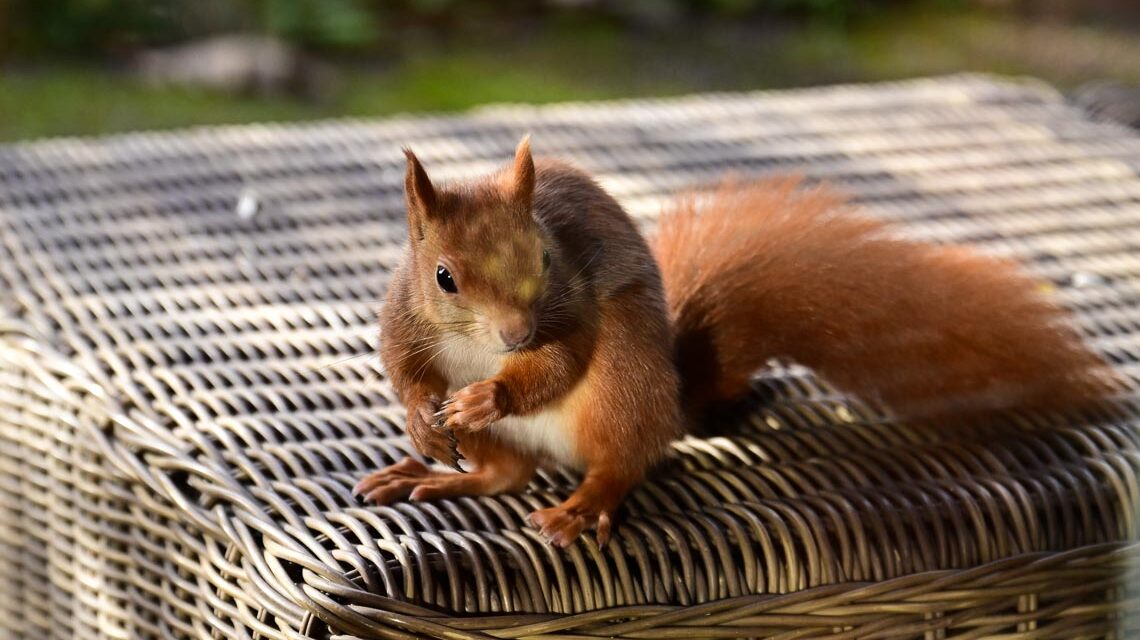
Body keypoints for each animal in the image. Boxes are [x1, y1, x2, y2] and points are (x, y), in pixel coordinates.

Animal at [354, 136, 1113, 548]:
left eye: (544, 257)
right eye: (445, 277)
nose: (517, 333)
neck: (481, 350)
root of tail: (674, 398)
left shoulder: (573, 313)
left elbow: (558, 366)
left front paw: (489, 396)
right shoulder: (402, 318)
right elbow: (401, 368)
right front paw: (422, 415)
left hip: (622, 382)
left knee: (621, 462)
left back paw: (581, 505)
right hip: (537, 434)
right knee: (507, 474)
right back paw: (429, 470)